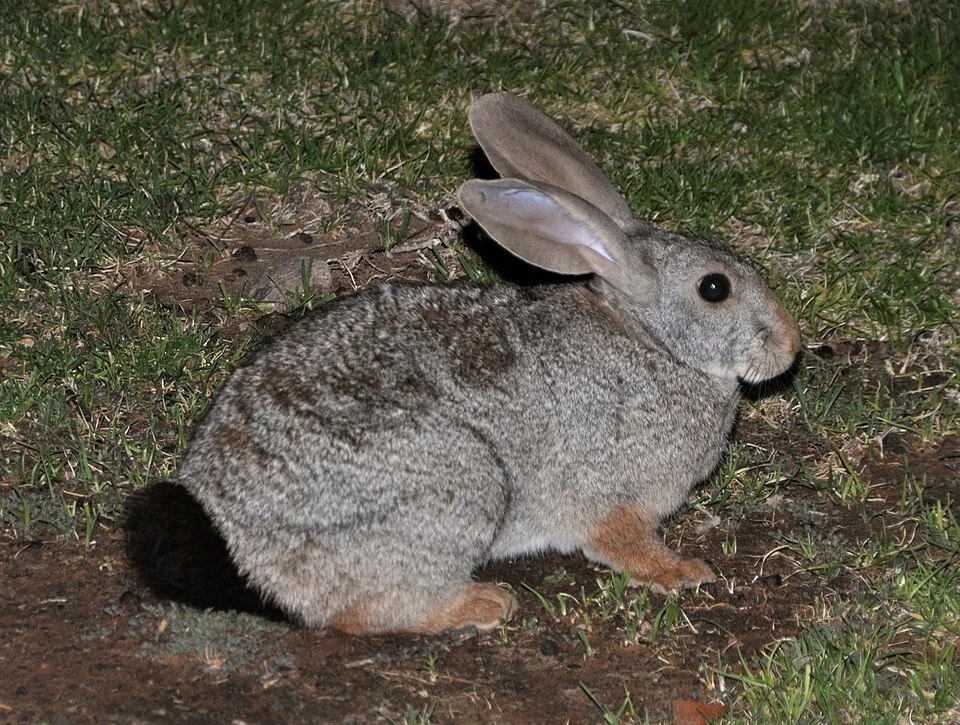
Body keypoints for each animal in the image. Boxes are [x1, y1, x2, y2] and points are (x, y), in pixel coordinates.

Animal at [125, 92, 801, 634]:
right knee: (361, 614)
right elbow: (622, 542)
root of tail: (241, 539)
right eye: (715, 289)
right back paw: (480, 605)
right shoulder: (610, 491)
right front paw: (685, 571)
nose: (792, 347)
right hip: (463, 481)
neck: (656, 344)